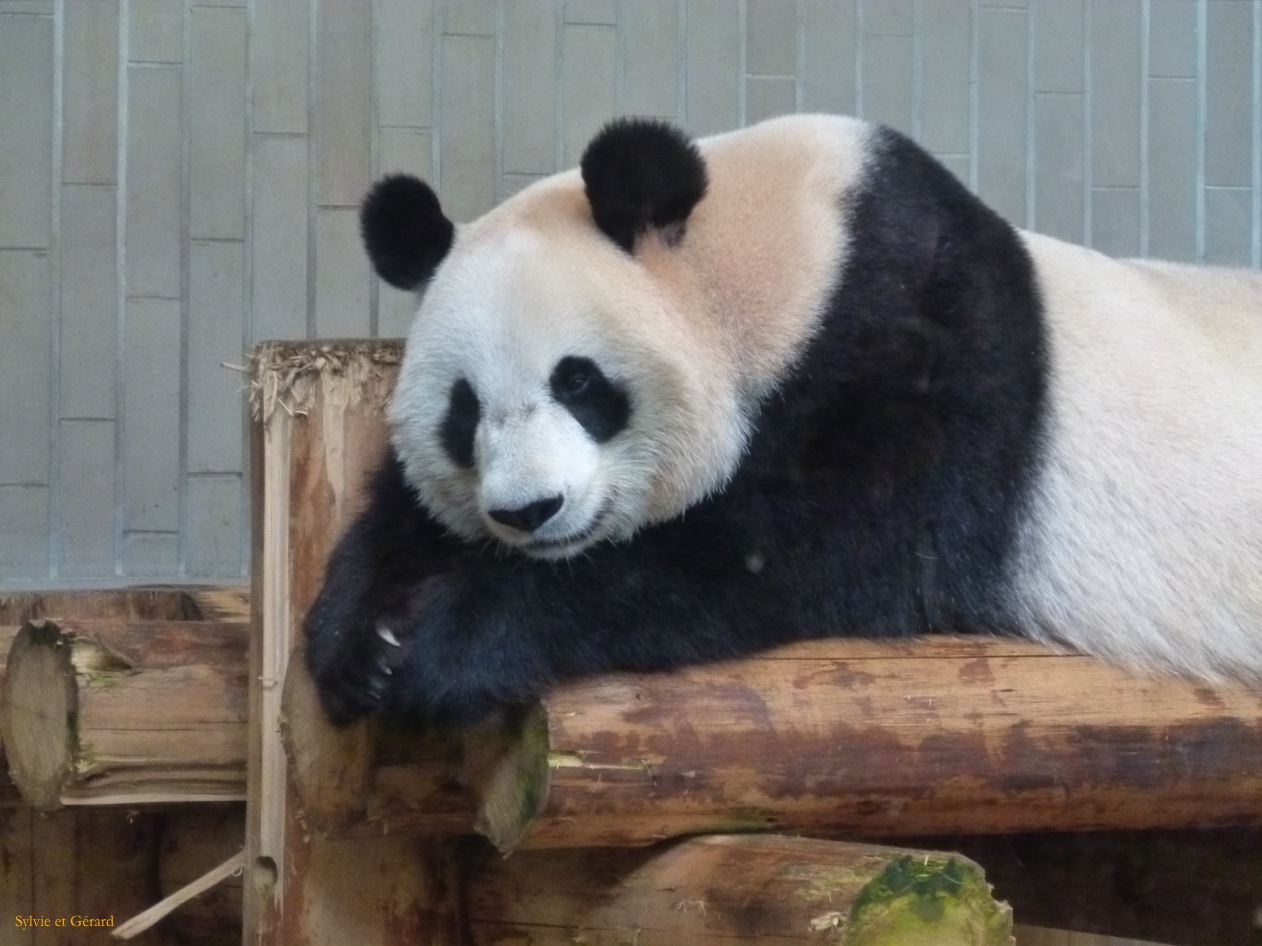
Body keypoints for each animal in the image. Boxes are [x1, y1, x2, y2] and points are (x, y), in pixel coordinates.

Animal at [305, 114, 1262, 726]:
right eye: (463, 411)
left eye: (579, 382)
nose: (529, 512)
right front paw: (360, 637)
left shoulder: (922, 344)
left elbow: (796, 550)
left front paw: (444, 645)